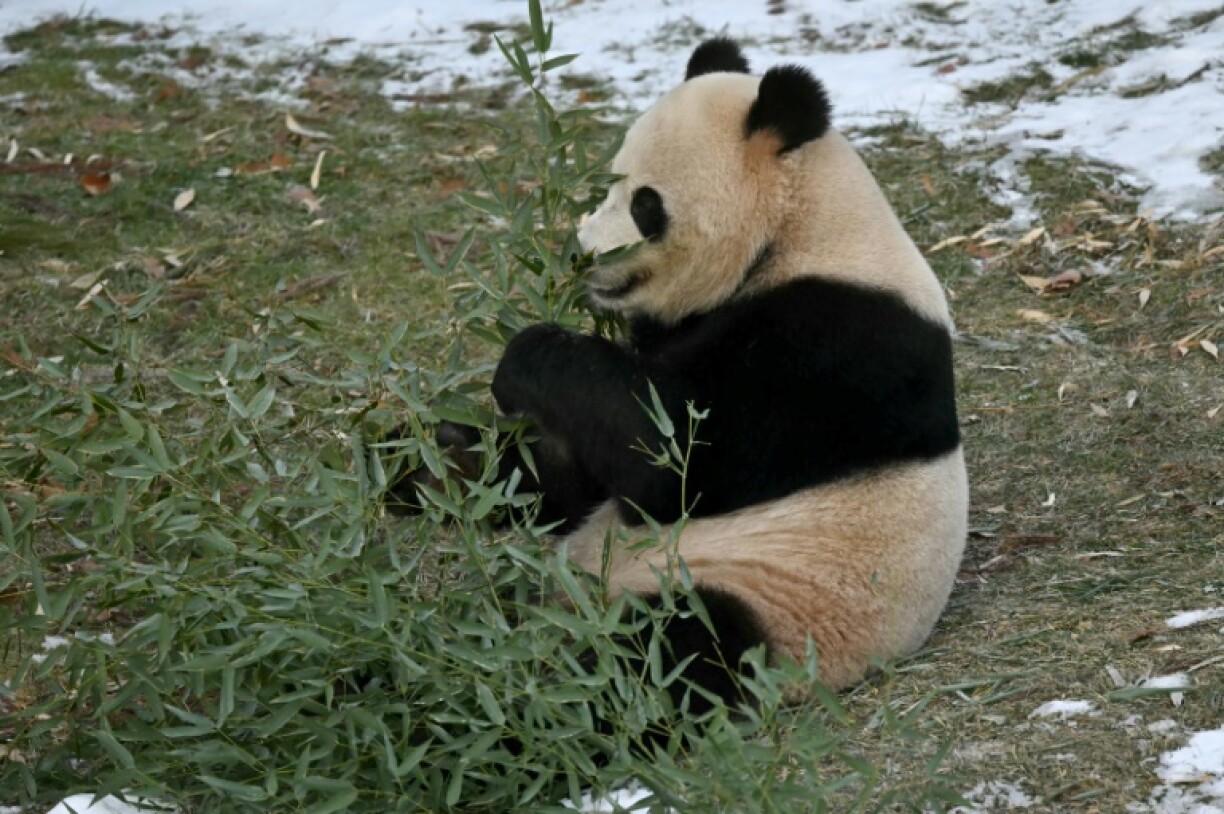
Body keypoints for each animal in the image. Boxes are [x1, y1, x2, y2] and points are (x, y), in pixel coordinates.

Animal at [427, 38, 967, 718]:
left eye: (645, 204)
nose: (581, 255)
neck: (803, 228)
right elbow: (592, 462)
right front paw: (460, 450)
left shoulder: (839, 344)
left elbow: (677, 457)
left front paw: (524, 358)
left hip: (769, 604)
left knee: (669, 651)